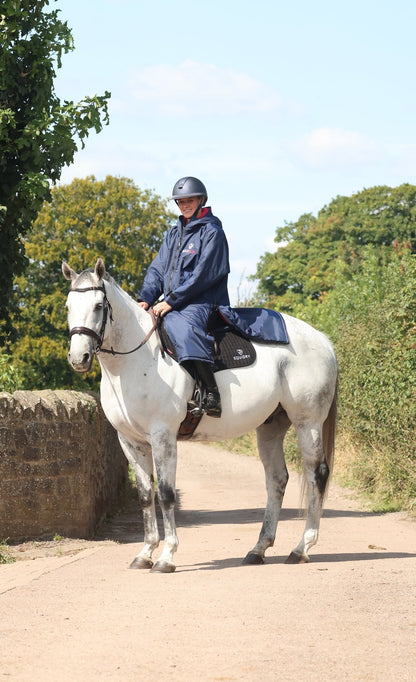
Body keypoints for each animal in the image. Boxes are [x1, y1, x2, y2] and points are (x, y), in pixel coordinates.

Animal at [62, 258, 338, 573]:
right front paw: (145, 553)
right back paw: (258, 549)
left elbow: (166, 493)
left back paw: (302, 548)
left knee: (317, 474)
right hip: (271, 427)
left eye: (98, 306)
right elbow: (145, 495)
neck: (138, 360)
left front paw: (167, 556)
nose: (78, 358)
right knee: (277, 480)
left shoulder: (163, 437)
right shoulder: (130, 442)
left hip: (308, 423)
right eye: (68, 306)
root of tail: (322, 340)